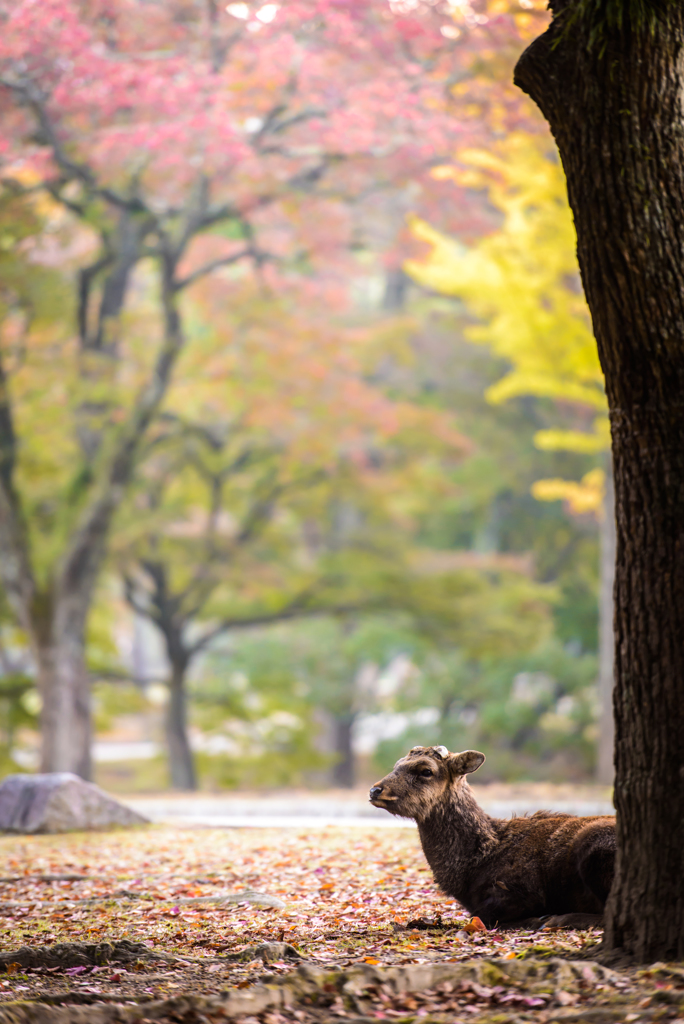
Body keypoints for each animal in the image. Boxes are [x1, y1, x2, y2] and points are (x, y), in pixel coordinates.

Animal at [370, 745, 618, 929]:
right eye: (397, 765)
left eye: (426, 771)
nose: (375, 790)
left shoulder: (522, 891)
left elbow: (482, 916)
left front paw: (537, 919)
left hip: (594, 849)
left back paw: (557, 919)